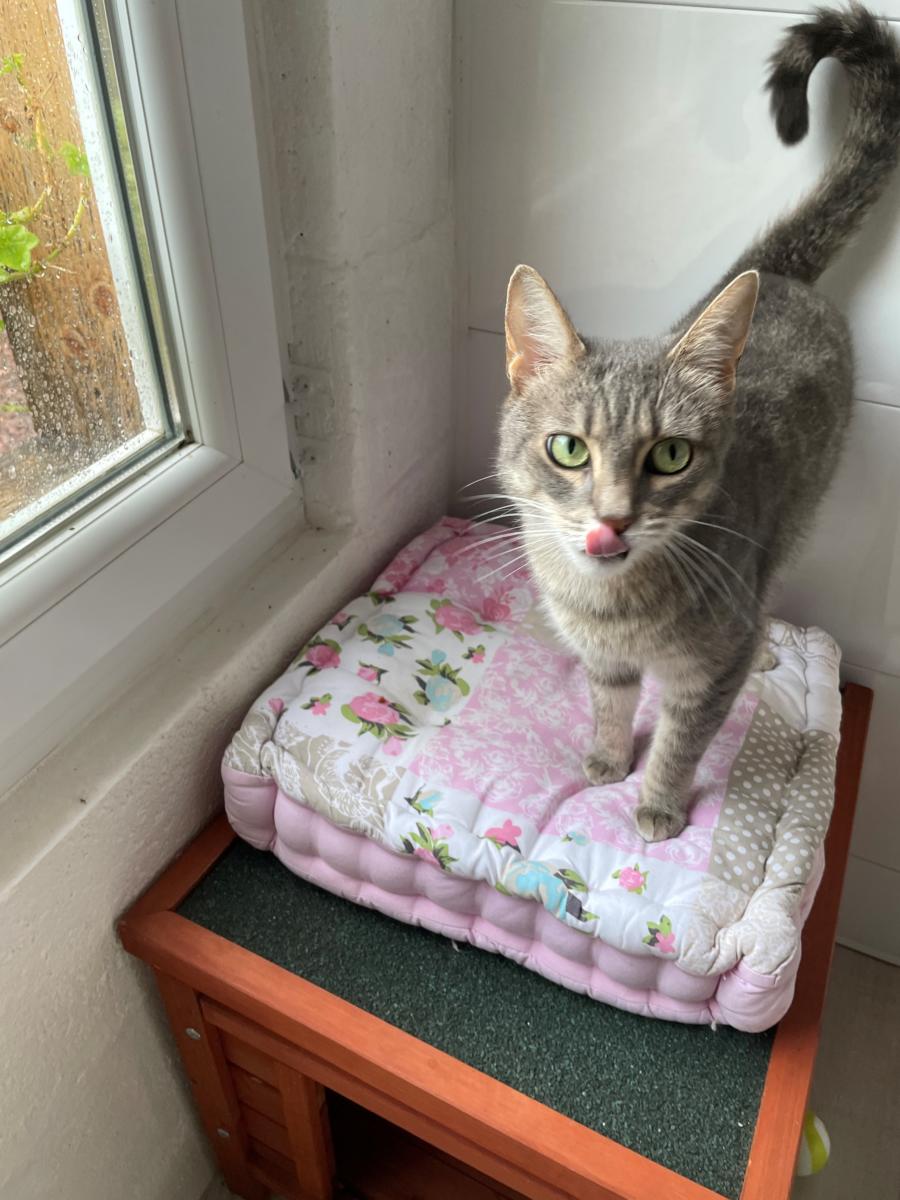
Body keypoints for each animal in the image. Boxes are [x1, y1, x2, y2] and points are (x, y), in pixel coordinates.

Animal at [497, 4, 900, 842]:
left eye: (672, 456)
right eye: (568, 448)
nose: (612, 520)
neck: (613, 608)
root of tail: (775, 271)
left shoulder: (712, 670)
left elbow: (682, 741)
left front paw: (657, 802)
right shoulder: (606, 662)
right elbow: (610, 707)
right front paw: (608, 757)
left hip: (797, 521)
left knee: (775, 585)